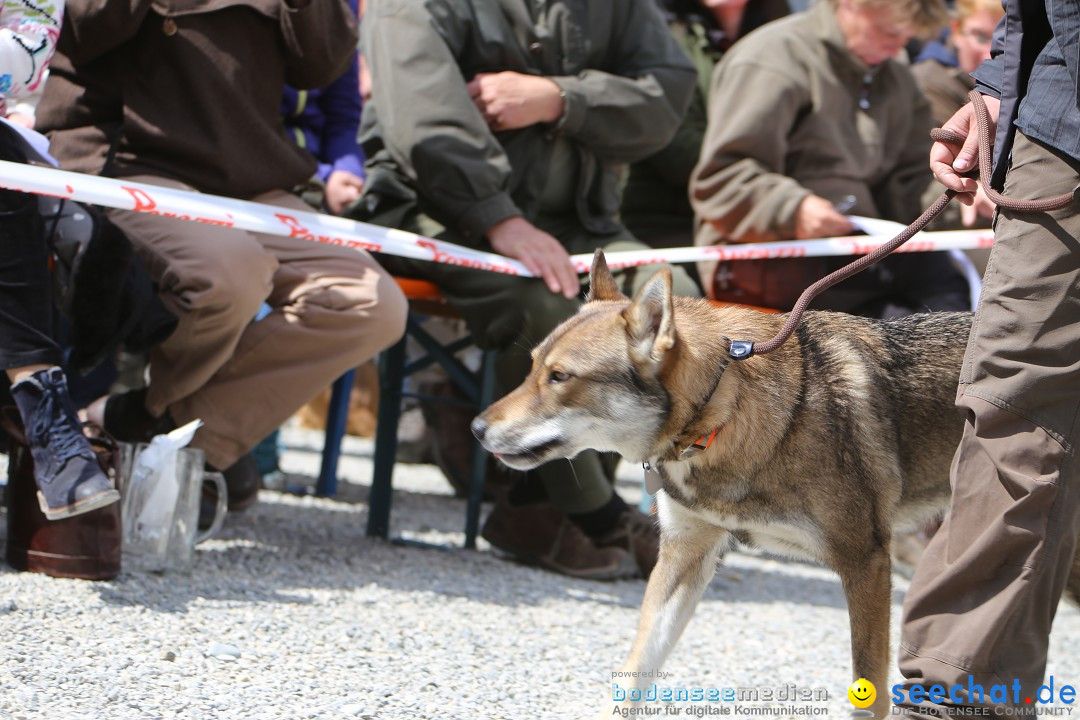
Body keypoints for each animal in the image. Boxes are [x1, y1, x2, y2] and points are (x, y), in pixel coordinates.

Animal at [475, 250, 1080, 716]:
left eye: (560, 377)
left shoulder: (866, 564)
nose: (478, 429)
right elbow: (633, 674)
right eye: (531, 367)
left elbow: (868, 694)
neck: (726, 415)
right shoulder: (684, 556)